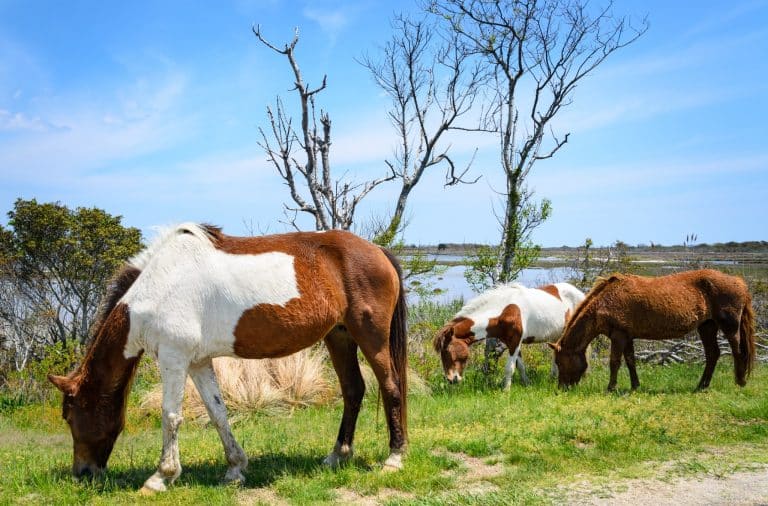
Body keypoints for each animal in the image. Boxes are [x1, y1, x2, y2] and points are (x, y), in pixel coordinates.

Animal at [48, 224, 408, 492]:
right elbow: (217, 413)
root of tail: (378, 251)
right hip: (340, 336)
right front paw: (235, 469)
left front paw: (161, 477)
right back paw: (338, 456)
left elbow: (171, 416)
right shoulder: (197, 362)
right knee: (353, 390)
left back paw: (394, 458)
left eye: (70, 416)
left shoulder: (174, 358)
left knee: (390, 387)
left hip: (371, 336)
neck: (158, 286)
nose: (82, 473)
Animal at [433, 282, 585, 389]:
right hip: (556, 336)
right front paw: (527, 384)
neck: (505, 310)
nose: (451, 379)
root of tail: (580, 293)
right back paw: (553, 377)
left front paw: (506, 391)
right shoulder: (512, 342)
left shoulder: (515, 341)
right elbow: (521, 367)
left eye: (447, 352)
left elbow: (509, 368)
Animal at [548, 269, 756, 392]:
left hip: (729, 327)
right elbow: (630, 361)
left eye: (560, 362)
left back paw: (740, 382)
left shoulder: (618, 336)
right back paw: (701, 386)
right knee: (713, 354)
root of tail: (740, 282)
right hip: (707, 327)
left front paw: (611, 388)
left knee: (737, 351)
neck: (606, 300)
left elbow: (615, 362)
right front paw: (635, 386)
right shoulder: (627, 336)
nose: (562, 388)